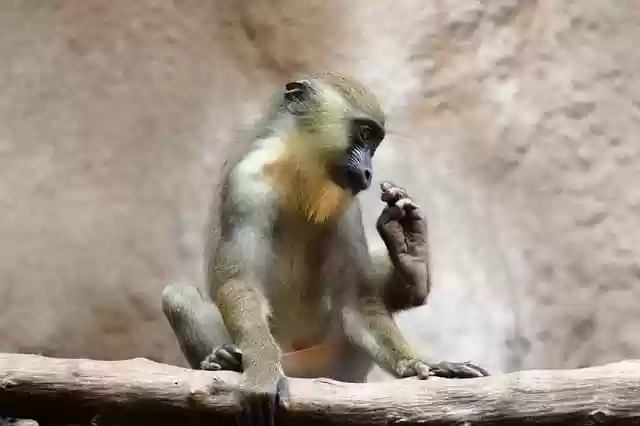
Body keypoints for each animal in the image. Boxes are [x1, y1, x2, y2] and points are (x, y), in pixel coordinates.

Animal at [162, 72, 489, 426]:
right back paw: (223, 359)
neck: (298, 174)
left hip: (334, 362)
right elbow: (240, 285)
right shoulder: (245, 186)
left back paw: (411, 257)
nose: (369, 172)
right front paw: (261, 374)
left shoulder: (346, 204)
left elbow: (356, 302)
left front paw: (422, 365)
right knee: (178, 296)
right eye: (364, 133)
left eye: (374, 143)